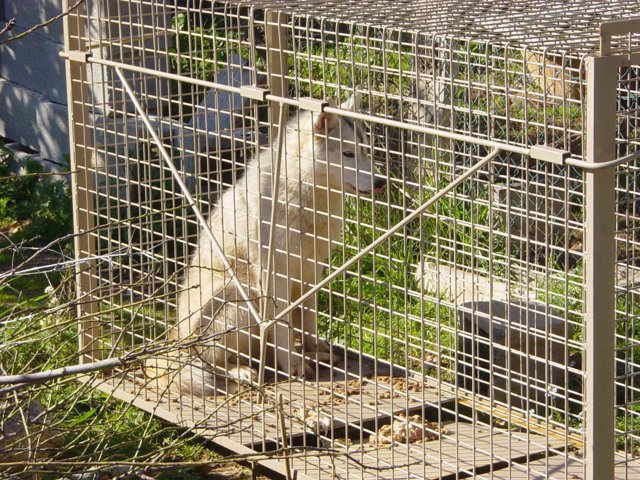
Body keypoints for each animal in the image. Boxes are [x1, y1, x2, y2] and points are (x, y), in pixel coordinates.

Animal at [152, 93, 384, 394]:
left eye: (365, 151)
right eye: (347, 154)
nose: (380, 182)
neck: (304, 195)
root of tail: (177, 342)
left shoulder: (312, 271)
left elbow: (308, 322)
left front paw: (311, 349)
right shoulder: (274, 276)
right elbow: (283, 329)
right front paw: (294, 366)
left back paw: (313, 356)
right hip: (238, 297)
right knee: (215, 364)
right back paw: (243, 371)